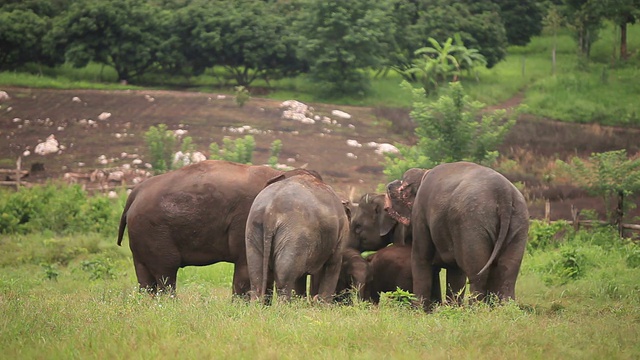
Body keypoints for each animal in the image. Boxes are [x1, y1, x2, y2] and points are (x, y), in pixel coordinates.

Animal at [117, 160, 318, 296]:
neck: (280, 173)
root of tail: (134, 194)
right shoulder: (245, 219)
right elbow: (245, 265)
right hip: (153, 231)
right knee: (166, 272)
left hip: (141, 235)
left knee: (145, 278)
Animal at [245, 170, 350, 302]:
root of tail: (270, 211)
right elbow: (333, 264)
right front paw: (322, 304)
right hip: (294, 236)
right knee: (285, 279)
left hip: (254, 229)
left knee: (256, 276)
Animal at [384, 162, 528, 310]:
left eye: (401, 185)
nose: (389, 185)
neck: (424, 172)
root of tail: (504, 194)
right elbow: (455, 272)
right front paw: (451, 308)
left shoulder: (420, 212)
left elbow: (421, 257)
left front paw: (418, 310)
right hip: (519, 224)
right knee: (507, 274)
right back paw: (504, 309)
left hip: (472, 224)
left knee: (478, 274)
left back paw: (475, 309)